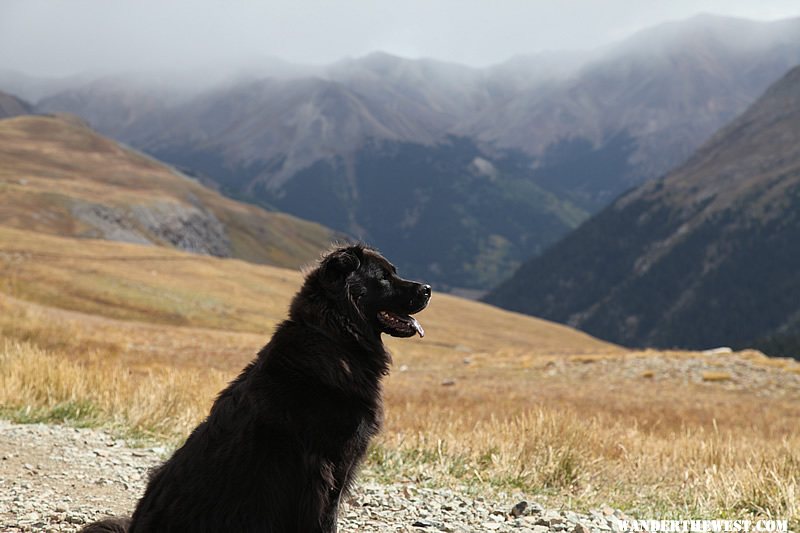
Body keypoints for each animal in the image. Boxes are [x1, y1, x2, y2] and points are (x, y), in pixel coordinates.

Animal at [82, 245, 432, 532]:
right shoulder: (325, 468)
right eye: (383, 278)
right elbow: (324, 520)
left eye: (394, 272)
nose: (427, 289)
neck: (334, 337)